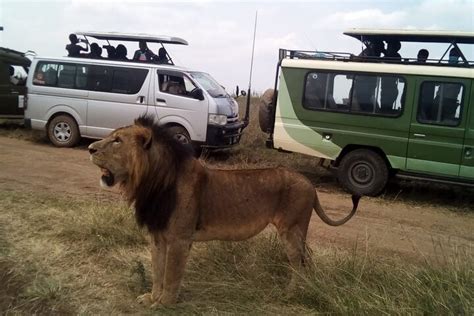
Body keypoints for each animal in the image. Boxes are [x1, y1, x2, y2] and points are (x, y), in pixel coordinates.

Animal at [88, 115, 360, 306]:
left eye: (117, 140)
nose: (90, 148)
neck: (151, 183)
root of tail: (310, 185)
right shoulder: (157, 237)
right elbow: (157, 271)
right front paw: (152, 298)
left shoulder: (179, 239)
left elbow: (172, 274)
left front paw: (164, 304)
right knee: (306, 261)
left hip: (292, 229)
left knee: (299, 263)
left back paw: (291, 294)